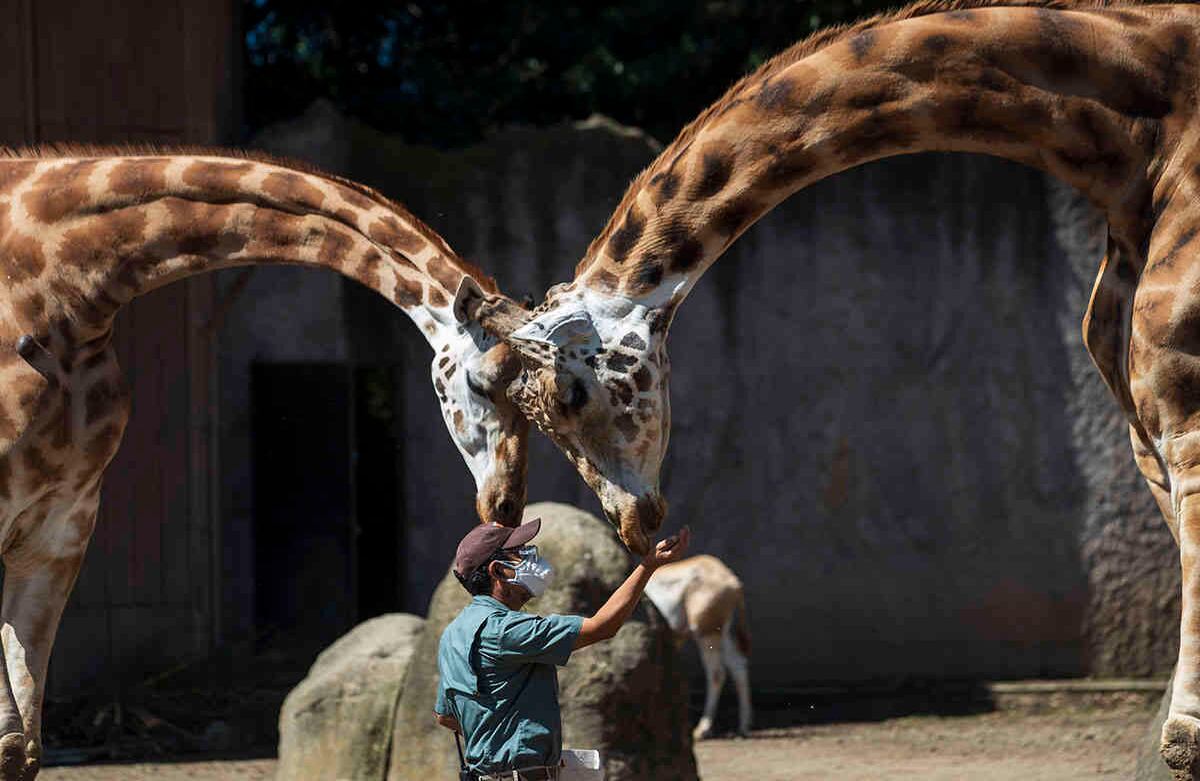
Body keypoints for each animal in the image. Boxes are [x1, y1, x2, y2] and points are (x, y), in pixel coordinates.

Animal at [0, 146, 528, 780]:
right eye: (481, 380)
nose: (504, 505)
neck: (63, 286)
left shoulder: (61, 527)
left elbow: (23, 747)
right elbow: (10, 742)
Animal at [643, 554, 752, 739]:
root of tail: (732, 581)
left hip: (706, 633)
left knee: (717, 673)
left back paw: (703, 730)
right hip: (722, 633)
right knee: (738, 666)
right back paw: (742, 728)